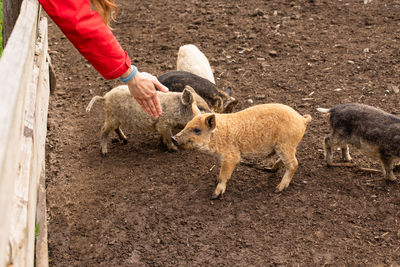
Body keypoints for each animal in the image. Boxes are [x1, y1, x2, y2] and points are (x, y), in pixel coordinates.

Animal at [172, 103, 312, 200]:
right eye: (187, 125)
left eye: (197, 130)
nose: (174, 138)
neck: (218, 136)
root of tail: (302, 119)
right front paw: (215, 181)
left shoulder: (232, 157)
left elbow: (224, 176)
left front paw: (214, 196)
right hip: (285, 147)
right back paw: (269, 169)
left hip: (285, 145)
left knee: (294, 164)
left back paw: (277, 189)